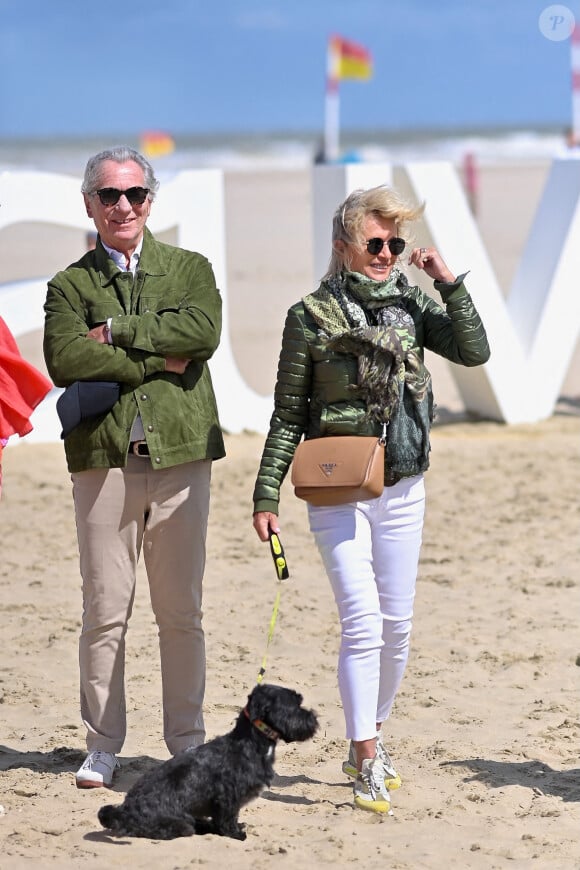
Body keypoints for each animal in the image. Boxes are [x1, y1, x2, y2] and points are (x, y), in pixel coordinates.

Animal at [98, 684, 318, 840]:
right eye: (296, 705)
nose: (314, 717)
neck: (250, 742)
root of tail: (124, 810)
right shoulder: (228, 797)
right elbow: (228, 819)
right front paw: (236, 834)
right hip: (179, 823)